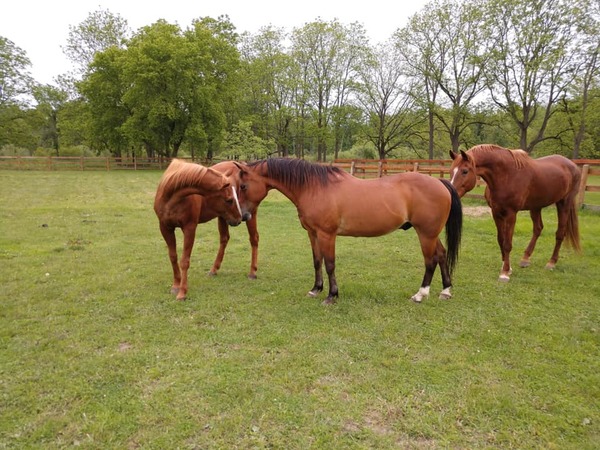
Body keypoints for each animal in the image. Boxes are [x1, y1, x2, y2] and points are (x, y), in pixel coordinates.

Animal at [154, 160, 256, 300]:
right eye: (229, 200)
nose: (240, 218)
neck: (171, 198)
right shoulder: (165, 228)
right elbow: (173, 257)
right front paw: (176, 285)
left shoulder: (189, 228)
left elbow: (185, 260)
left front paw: (182, 292)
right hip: (223, 217)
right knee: (224, 239)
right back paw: (214, 270)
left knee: (254, 239)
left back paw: (252, 272)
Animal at [237, 159, 462, 306]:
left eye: (243, 186)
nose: (244, 216)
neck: (314, 187)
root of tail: (439, 182)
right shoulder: (313, 234)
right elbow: (317, 262)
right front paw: (315, 290)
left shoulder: (327, 235)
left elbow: (329, 264)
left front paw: (331, 295)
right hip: (431, 234)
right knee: (441, 255)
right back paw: (446, 291)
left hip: (426, 235)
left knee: (430, 261)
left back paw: (420, 295)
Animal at [450, 145, 580, 282]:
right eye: (451, 170)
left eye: (464, 171)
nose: (452, 194)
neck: (506, 175)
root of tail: (573, 165)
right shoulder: (496, 213)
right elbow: (501, 240)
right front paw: (507, 266)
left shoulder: (511, 214)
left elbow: (507, 243)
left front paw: (505, 273)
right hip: (536, 207)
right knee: (538, 229)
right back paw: (525, 258)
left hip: (564, 204)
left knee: (560, 233)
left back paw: (551, 262)